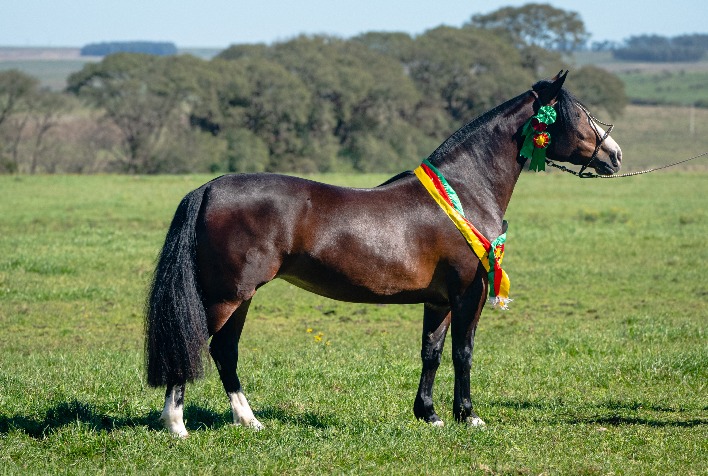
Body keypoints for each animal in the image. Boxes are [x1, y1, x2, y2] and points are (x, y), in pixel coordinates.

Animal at [144, 70, 620, 436]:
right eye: (580, 115)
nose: (614, 155)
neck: (466, 189)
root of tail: (209, 188)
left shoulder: (439, 300)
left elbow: (432, 352)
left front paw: (429, 415)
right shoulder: (470, 293)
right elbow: (463, 352)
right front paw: (467, 416)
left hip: (240, 298)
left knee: (225, 351)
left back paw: (250, 422)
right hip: (226, 296)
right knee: (194, 343)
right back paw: (177, 425)